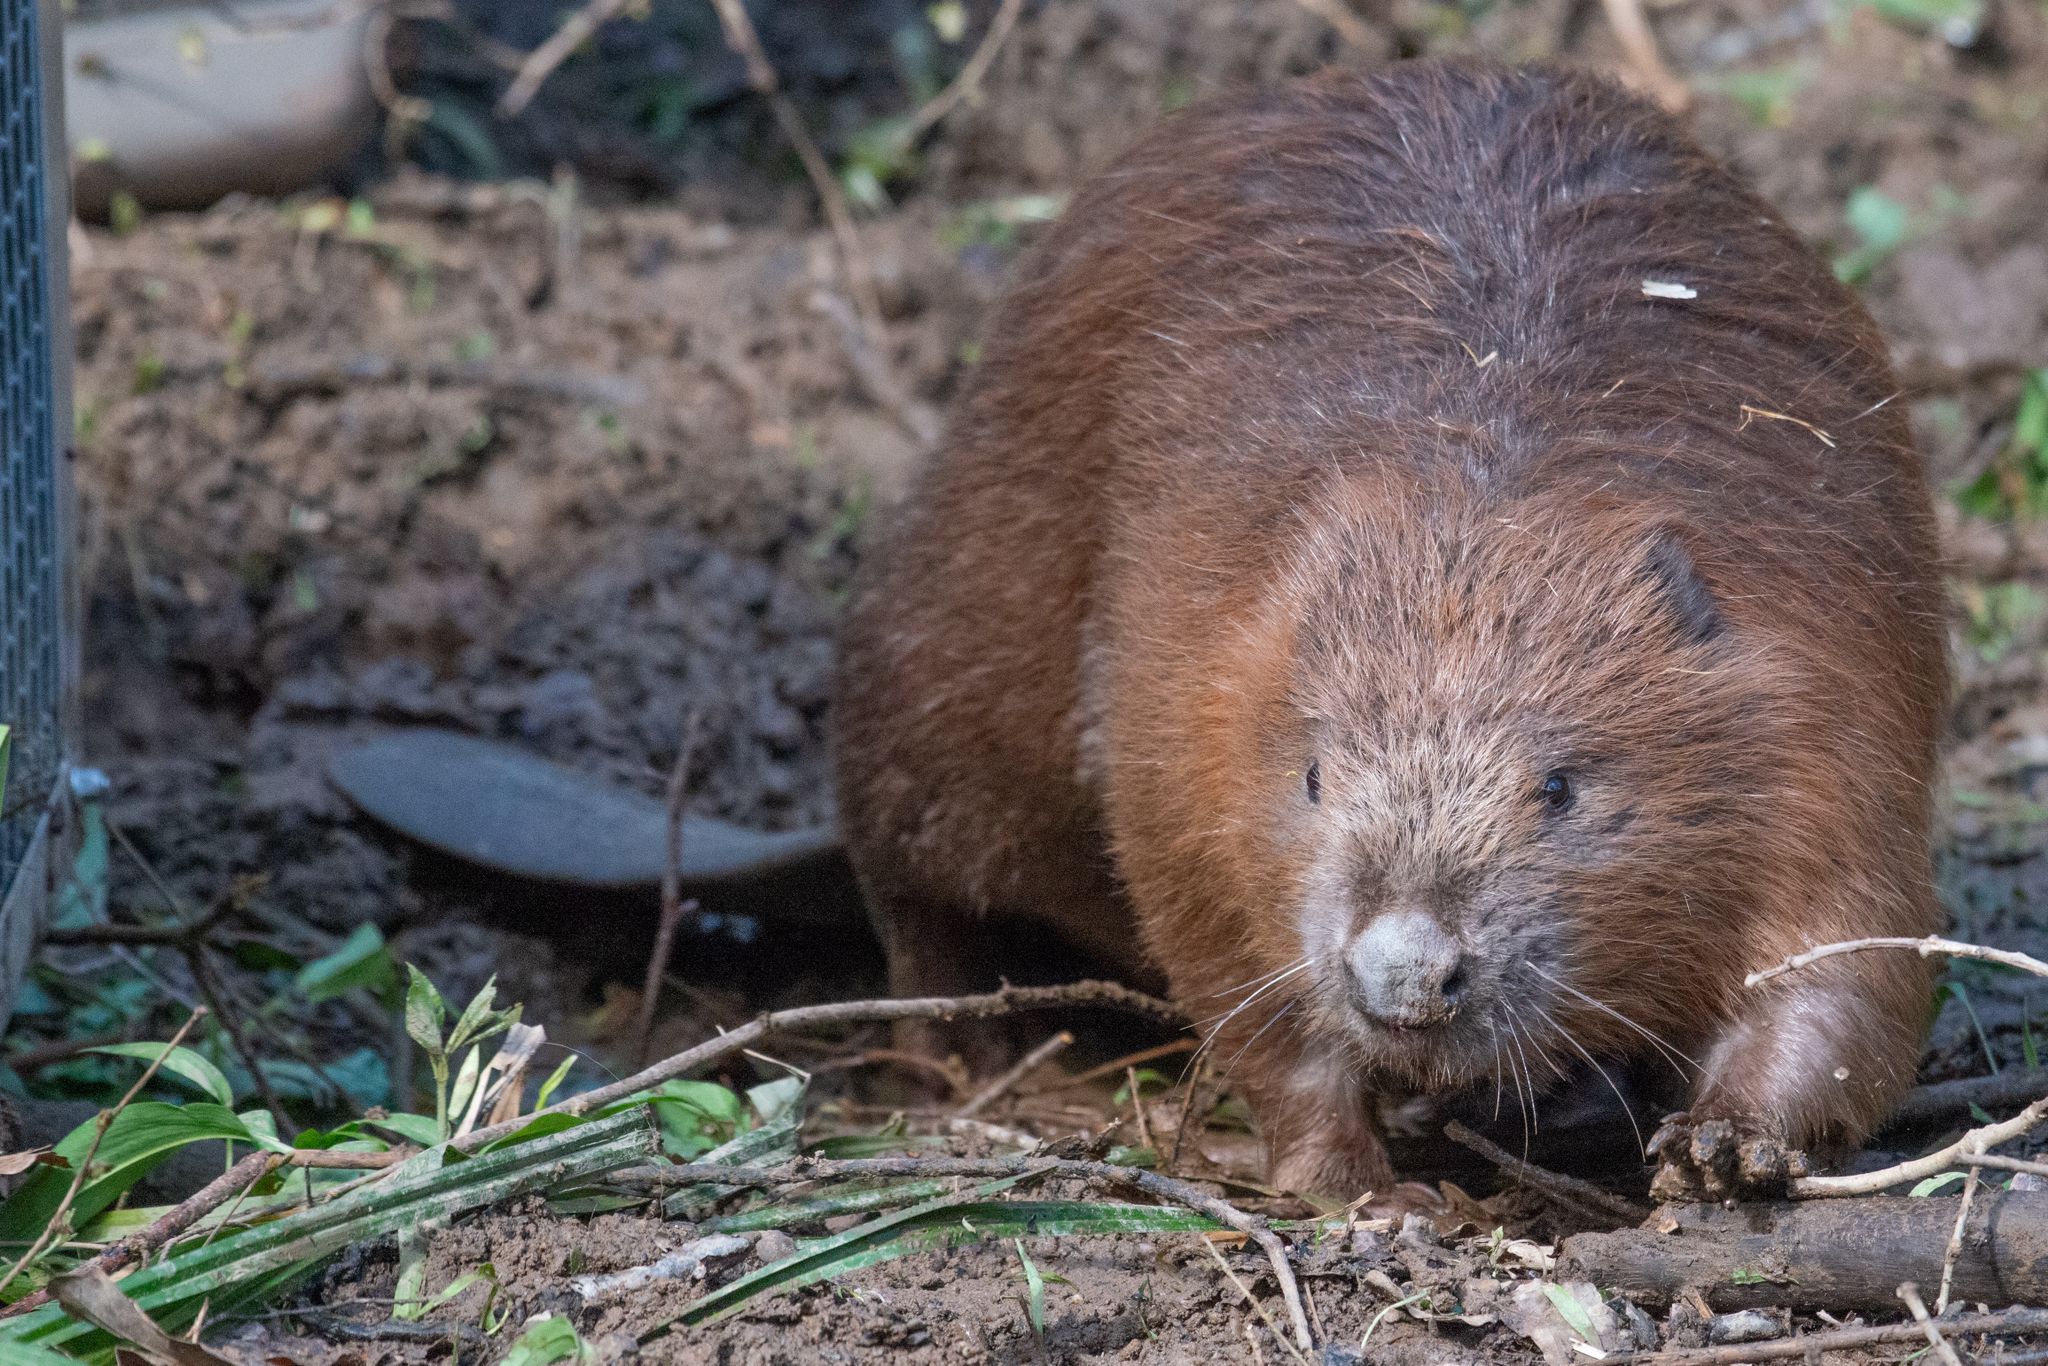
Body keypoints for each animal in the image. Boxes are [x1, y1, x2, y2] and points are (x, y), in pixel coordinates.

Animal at [831, 58, 1949, 1204]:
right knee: (914, 890)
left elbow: (1856, 960)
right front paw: (1357, 1183)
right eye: (1314, 776)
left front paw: (1725, 1144)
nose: (1405, 975)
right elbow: (1241, 982)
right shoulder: (1185, 717)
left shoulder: (1826, 702)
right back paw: (973, 1056)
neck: (1485, 497)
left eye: (1559, 786)